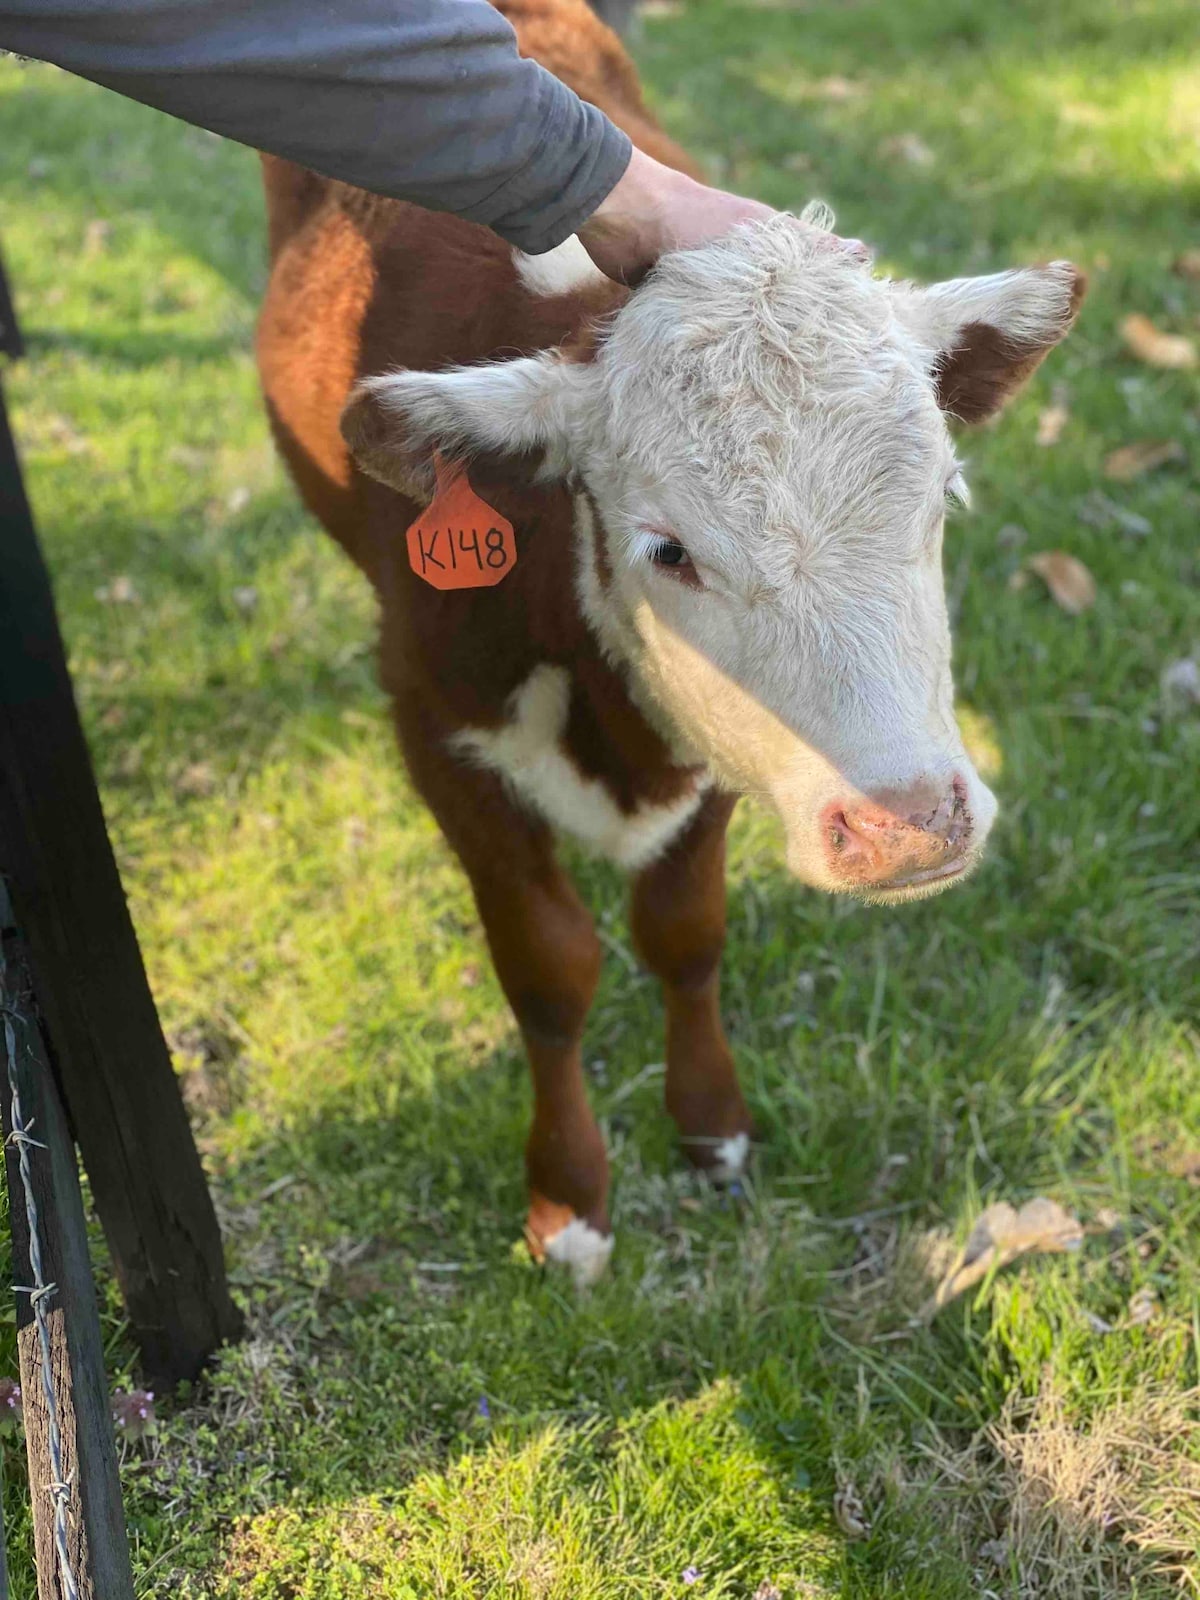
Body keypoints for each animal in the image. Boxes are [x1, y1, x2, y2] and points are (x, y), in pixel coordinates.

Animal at [259, 0, 1088, 1280]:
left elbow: (685, 934)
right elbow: (551, 966)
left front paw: (710, 1127)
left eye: (942, 498)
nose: (910, 827)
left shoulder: (715, 749)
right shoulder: (437, 728)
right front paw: (568, 1197)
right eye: (670, 549)